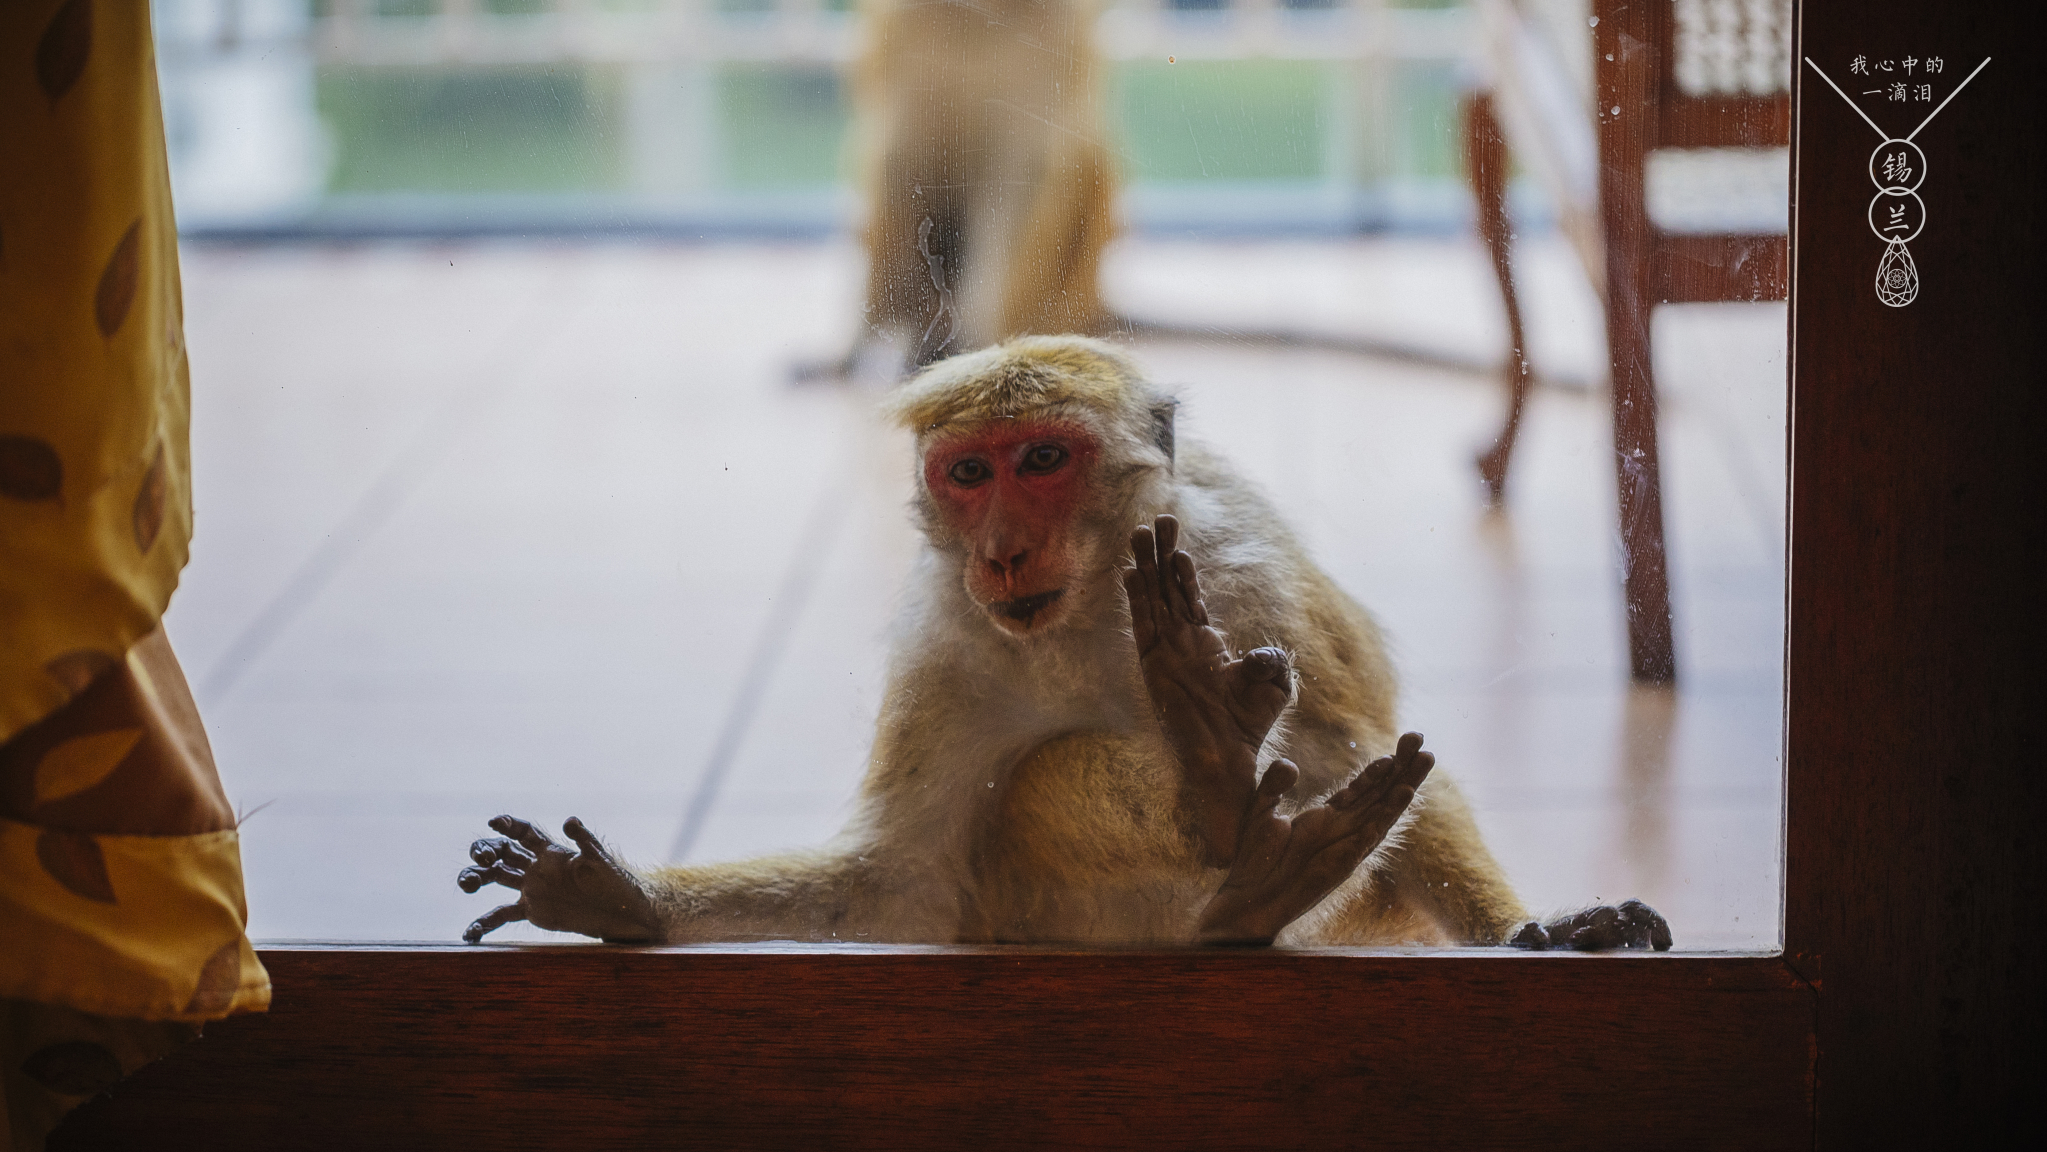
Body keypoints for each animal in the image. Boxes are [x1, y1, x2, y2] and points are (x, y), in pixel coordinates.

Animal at [460, 335, 1662, 957]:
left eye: (1042, 458)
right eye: (968, 472)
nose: (999, 550)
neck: (1093, 613)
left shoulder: (1248, 587)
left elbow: (1379, 749)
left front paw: (1537, 931)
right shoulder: (942, 648)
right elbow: (901, 881)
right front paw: (622, 902)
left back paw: (1226, 809)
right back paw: (1232, 860)